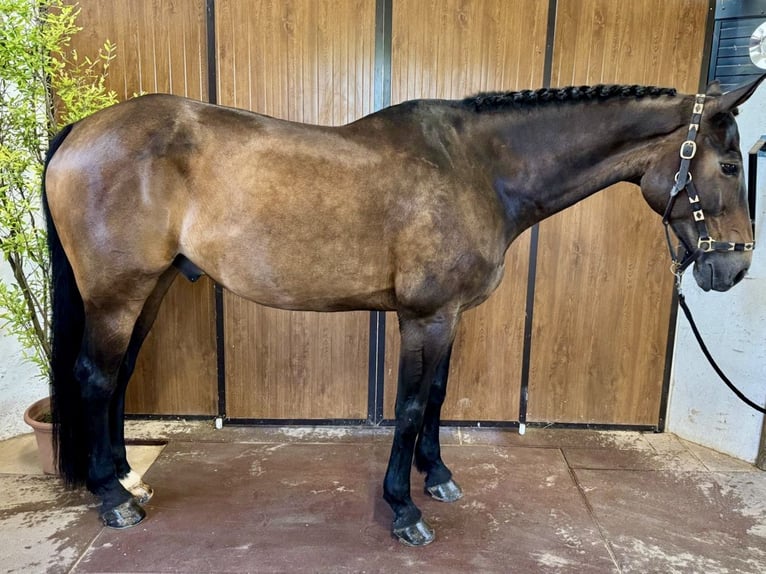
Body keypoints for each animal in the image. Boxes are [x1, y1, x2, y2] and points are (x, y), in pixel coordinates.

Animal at [45, 77, 764, 548]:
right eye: (731, 164)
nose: (733, 269)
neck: (479, 170)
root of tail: (82, 129)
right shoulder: (425, 316)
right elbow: (413, 403)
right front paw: (404, 509)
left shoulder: (450, 316)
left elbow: (438, 396)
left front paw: (437, 476)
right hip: (118, 293)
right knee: (97, 378)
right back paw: (114, 499)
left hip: (152, 287)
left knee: (119, 378)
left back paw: (128, 480)